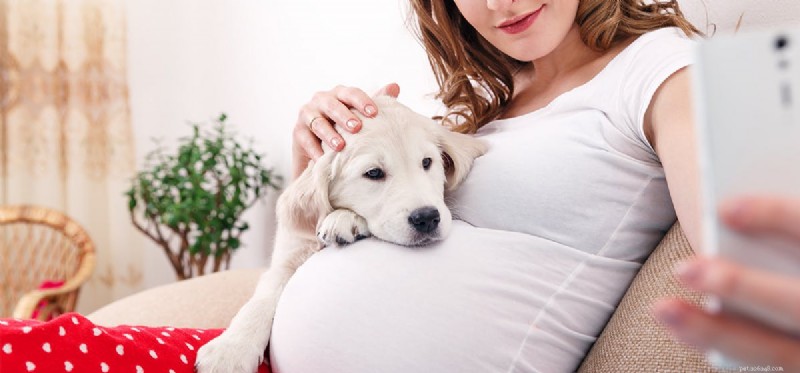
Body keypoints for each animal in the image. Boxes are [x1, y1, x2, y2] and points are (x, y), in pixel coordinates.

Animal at [195, 96, 488, 372]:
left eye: (427, 162)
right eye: (374, 173)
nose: (427, 218)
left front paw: (344, 219)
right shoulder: (287, 256)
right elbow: (260, 301)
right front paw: (230, 351)